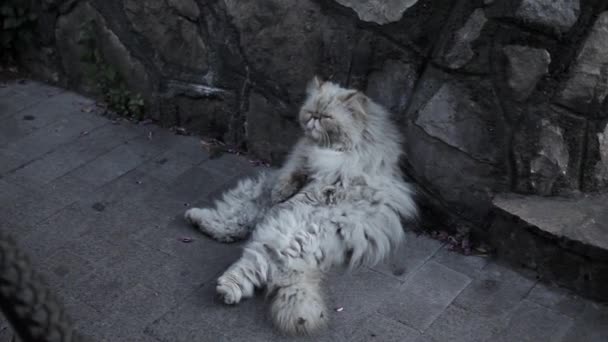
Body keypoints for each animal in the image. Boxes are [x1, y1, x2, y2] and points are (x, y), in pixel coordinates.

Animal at [184, 77, 418, 334]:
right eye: (311, 112)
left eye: (326, 117)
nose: (313, 119)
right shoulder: (300, 160)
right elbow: (291, 173)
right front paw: (283, 190)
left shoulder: (335, 173)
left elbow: (310, 179)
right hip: (256, 200)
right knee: (232, 224)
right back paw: (197, 218)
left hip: (281, 237)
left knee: (252, 264)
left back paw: (227, 289)